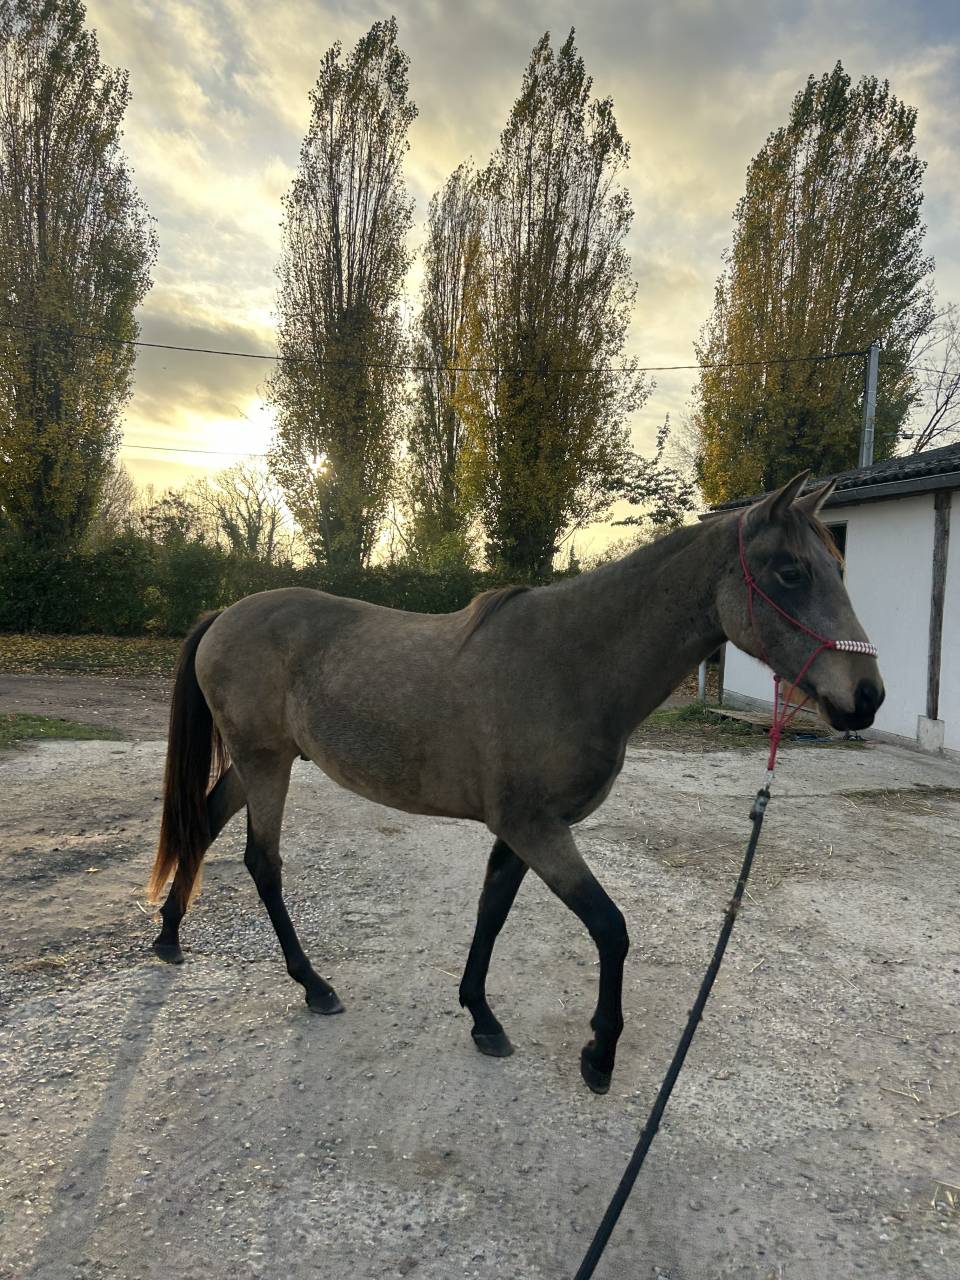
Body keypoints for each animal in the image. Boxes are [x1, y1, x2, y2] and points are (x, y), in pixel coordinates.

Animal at [147, 471, 884, 1094]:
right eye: (790, 572)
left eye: (839, 567)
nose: (867, 696)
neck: (573, 663)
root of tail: (224, 615)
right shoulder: (536, 827)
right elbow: (611, 928)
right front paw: (599, 1054)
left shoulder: (522, 830)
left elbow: (492, 912)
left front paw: (481, 1016)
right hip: (266, 763)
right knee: (262, 862)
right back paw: (313, 985)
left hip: (258, 764)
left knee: (203, 826)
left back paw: (169, 938)